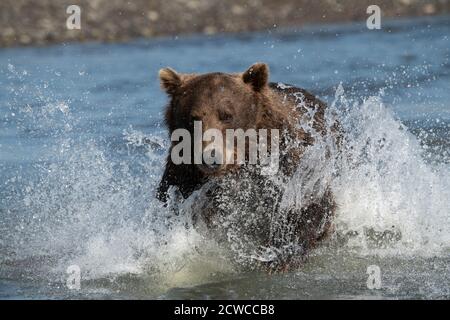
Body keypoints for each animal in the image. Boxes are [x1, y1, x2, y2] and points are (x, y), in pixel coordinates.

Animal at [156, 63, 336, 272]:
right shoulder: (184, 176)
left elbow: (309, 205)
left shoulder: (289, 165)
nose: (211, 157)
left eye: (226, 115)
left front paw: (279, 257)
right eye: (193, 118)